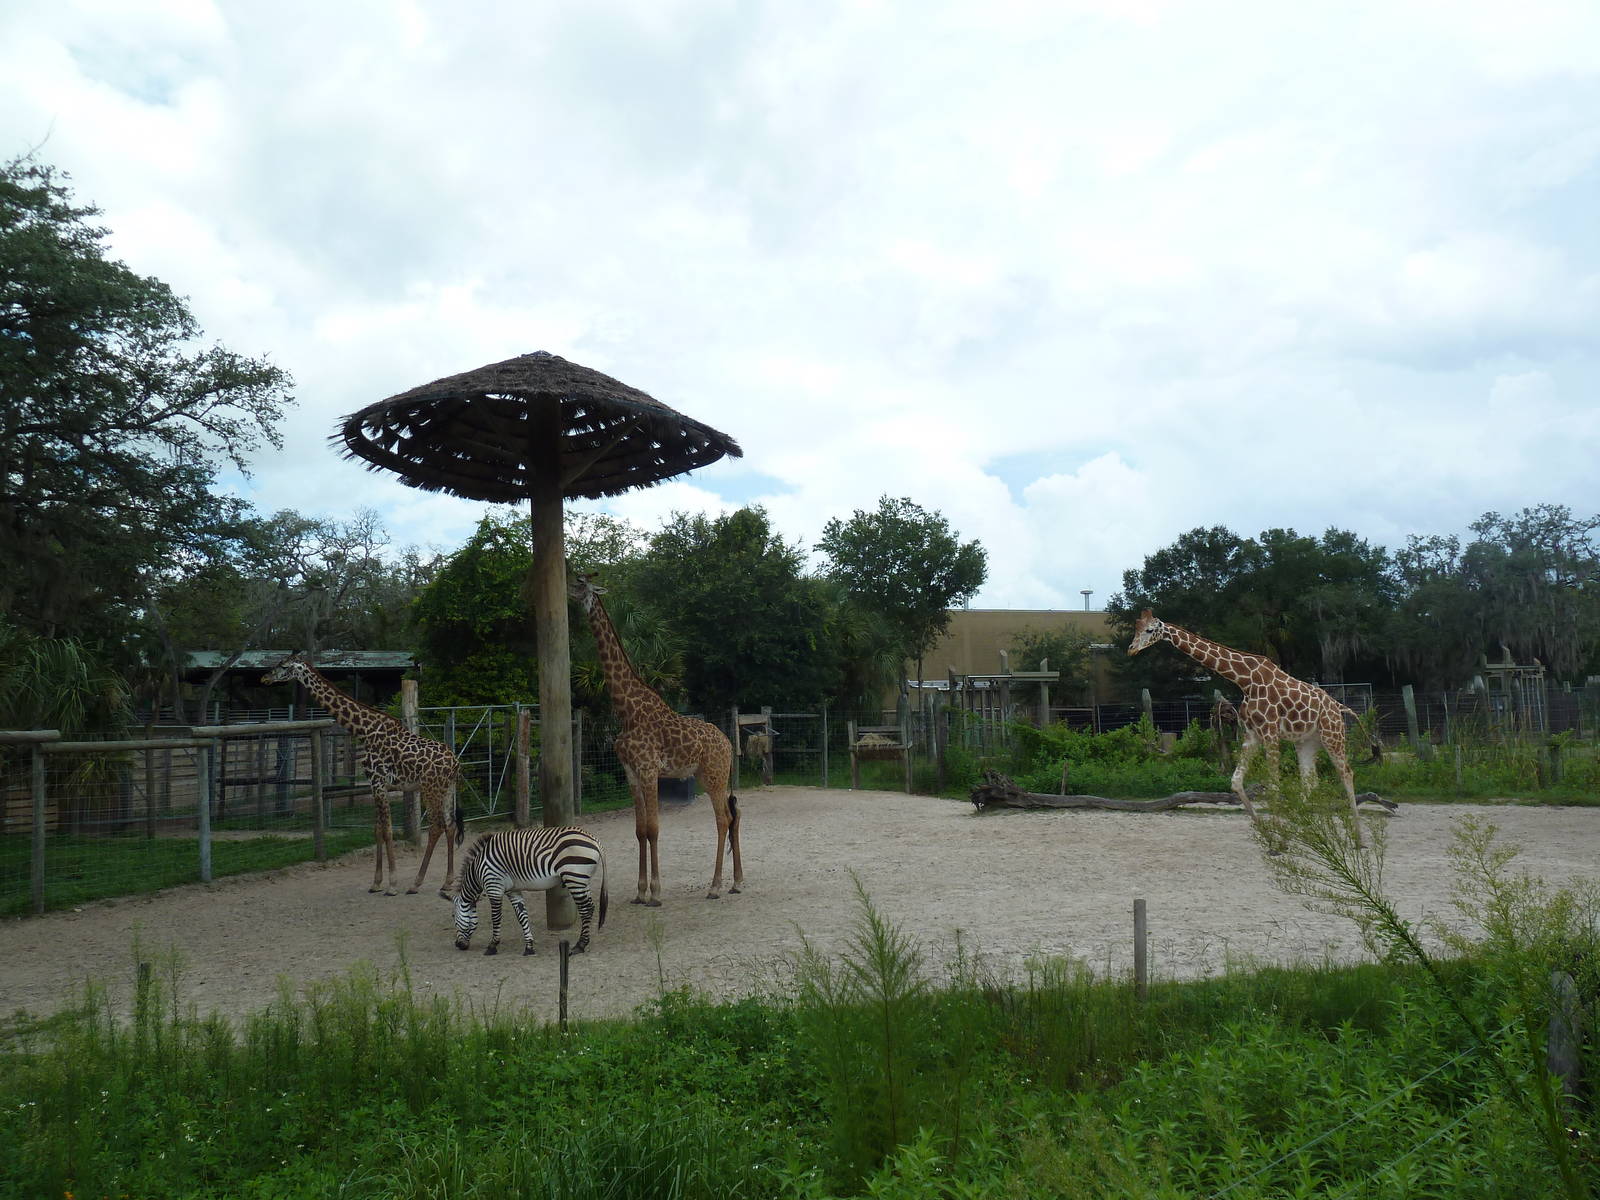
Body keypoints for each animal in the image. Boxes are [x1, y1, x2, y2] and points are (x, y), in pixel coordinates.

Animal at [261, 652, 463, 897]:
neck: (365, 731)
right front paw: (376, 883)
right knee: (450, 825)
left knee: (436, 827)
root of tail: (455, 763)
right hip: (447, 789)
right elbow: (377, 830)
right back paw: (447, 882)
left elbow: (387, 831)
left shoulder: (379, 782)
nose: (264, 678)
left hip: (430, 788)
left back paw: (416, 883)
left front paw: (392, 885)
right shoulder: (376, 785)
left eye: (283, 666)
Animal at [453, 827, 608, 956]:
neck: (477, 870)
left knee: (585, 909)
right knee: (590, 907)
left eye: (454, 918)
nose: (458, 945)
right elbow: (522, 916)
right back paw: (582, 943)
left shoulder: (493, 886)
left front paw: (492, 945)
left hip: (574, 877)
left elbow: (496, 918)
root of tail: (593, 839)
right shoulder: (513, 890)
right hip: (582, 881)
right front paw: (529, 947)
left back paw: (579, 945)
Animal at [568, 572, 742, 904]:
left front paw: (656, 892)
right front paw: (639, 891)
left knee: (723, 819)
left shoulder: (649, 770)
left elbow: (654, 828)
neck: (626, 710)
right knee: (734, 815)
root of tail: (728, 742)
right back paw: (737, 882)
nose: (566, 591)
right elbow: (639, 830)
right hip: (711, 775)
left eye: (581, 583)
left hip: (714, 776)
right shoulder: (631, 773)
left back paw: (715, 887)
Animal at [1127, 610, 1370, 848]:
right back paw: (1298, 833)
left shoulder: (1270, 732)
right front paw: (1270, 836)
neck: (1245, 681)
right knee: (1311, 782)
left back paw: (1358, 839)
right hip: (1306, 741)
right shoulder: (1252, 734)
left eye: (1149, 630)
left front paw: (1276, 841)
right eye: (1136, 628)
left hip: (1333, 735)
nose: (1131, 649)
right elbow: (1236, 781)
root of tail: (1339, 706)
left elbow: (1274, 785)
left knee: (1347, 773)